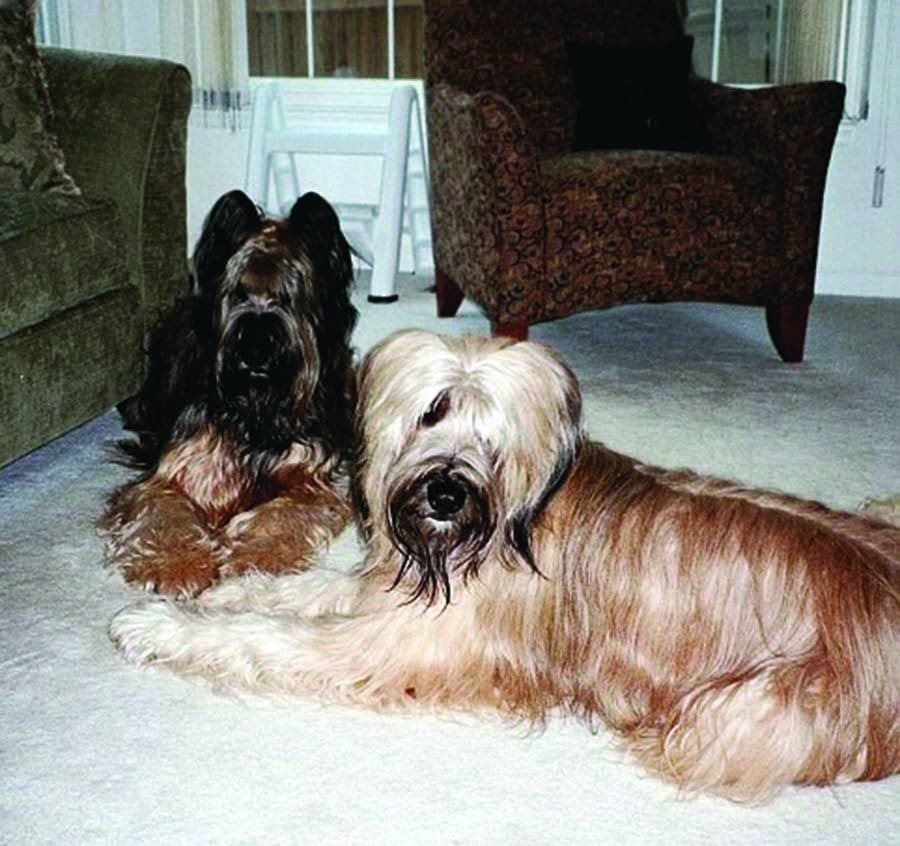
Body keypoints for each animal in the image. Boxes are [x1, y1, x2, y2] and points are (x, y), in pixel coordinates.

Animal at [103, 187, 358, 596]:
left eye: (287, 297)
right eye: (239, 294)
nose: (254, 348)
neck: (257, 409)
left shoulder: (309, 480)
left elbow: (280, 513)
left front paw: (255, 557)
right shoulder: (178, 472)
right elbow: (166, 511)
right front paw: (178, 564)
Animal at [112, 330, 900, 800]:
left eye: (495, 439)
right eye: (432, 412)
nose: (445, 490)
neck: (493, 528)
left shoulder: (402, 643)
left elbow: (265, 637)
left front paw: (157, 626)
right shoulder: (388, 593)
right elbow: (303, 592)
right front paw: (224, 589)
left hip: (744, 713)